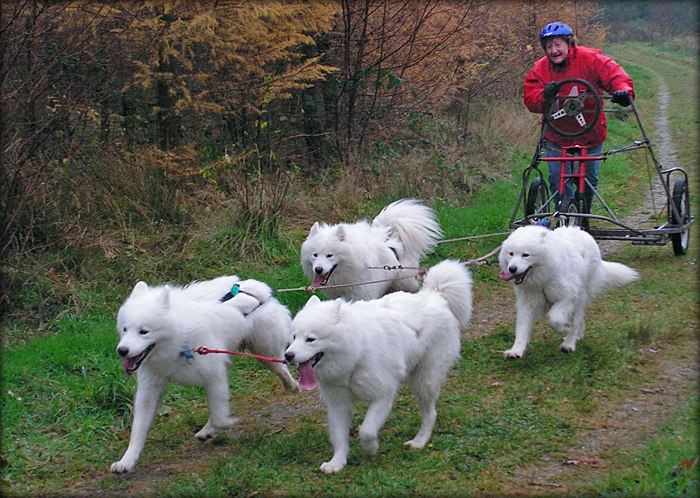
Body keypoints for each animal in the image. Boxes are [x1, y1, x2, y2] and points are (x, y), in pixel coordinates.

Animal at [109, 276, 298, 474]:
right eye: (125, 329)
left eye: (144, 331)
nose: (122, 350)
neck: (180, 340)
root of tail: (260, 290)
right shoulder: (149, 389)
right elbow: (138, 430)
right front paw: (127, 461)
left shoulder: (214, 376)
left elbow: (220, 416)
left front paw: (228, 423)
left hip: (264, 351)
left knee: (281, 368)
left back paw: (293, 385)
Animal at [284, 258, 470, 472]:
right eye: (294, 337)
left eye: (311, 339)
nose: (288, 355)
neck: (356, 352)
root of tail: (435, 296)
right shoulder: (339, 404)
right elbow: (339, 438)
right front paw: (336, 463)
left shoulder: (382, 396)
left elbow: (367, 430)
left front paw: (371, 448)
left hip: (425, 381)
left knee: (430, 414)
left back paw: (419, 441)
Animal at [300, 198, 442, 300]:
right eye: (315, 255)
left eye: (330, 255)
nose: (318, 270)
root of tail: (391, 236)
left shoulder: (362, 293)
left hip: (402, 281)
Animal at [498, 226, 640, 358]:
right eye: (511, 254)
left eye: (525, 255)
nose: (512, 269)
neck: (542, 280)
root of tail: (583, 232)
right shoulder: (528, 304)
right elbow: (522, 329)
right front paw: (516, 351)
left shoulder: (568, 297)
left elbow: (553, 318)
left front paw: (564, 329)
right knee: (579, 321)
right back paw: (577, 336)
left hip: (580, 298)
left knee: (576, 321)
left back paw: (569, 344)